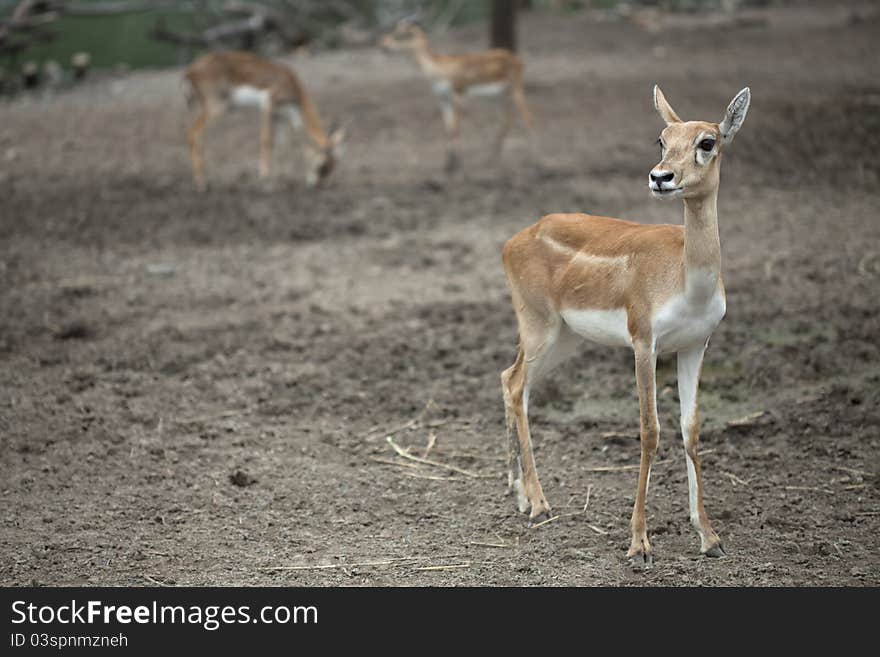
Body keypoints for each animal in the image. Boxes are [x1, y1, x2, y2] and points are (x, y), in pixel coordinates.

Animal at [184, 51, 346, 190]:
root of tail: (190, 71)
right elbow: (267, 140)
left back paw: (204, 181)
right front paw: (266, 179)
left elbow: (283, 146)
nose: (315, 185)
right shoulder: (268, 104)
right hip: (218, 107)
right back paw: (202, 184)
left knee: (195, 134)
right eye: (322, 166)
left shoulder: (281, 116)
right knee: (193, 133)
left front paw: (282, 179)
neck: (293, 85)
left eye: (333, 166)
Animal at [378, 20, 528, 173]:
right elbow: (448, 129)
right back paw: (492, 159)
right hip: (500, 97)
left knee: (527, 117)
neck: (442, 67)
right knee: (507, 121)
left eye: (401, 34)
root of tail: (517, 59)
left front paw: (456, 166)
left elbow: (456, 129)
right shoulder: (443, 99)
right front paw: (448, 165)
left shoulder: (458, 94)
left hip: (515, 91)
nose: (382, 44)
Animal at [502, 86, 748, 564]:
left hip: (564, 337)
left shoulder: (695, 344)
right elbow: (650, 430)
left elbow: (691, 429)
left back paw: (520, 496)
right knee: (517, 383)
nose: (661, 177)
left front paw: (710, 537)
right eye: (661, 139)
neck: (687, 279)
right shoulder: (643, 341)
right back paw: (539, 504)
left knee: (510, 378)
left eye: (707, 141)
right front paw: (639, 543)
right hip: (539, 326)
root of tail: (515, 239)